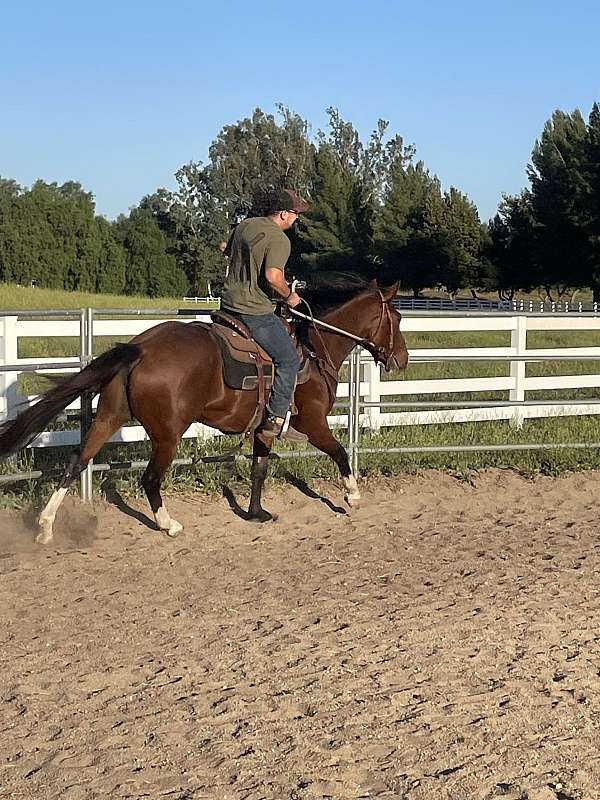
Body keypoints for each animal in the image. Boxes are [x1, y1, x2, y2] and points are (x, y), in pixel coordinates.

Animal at [0, 276, 408, 544]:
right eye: (399, 318)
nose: (402, 359)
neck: (314, 347)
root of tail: (140, 347)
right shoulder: (312, 423)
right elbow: (340, 452)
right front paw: (352, 496)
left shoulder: (265, 427)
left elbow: (259, 469)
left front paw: (256, 512)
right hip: (167, 434)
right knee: (149, 479)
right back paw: (169, 525)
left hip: (108, 417)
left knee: (77, 462)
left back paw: (46, 526)